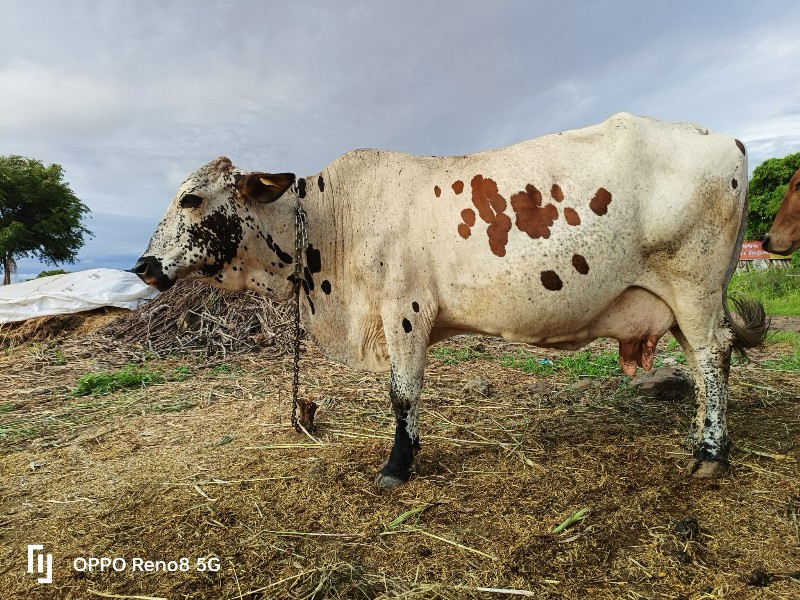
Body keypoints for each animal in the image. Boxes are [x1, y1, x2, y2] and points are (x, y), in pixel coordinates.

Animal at [136, 111, 768, 488]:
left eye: (191, 198)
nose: (143, 266)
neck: (330, 221)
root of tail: (725, 139)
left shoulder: (405, 313)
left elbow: (402, 395)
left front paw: (397, 464)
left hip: (693, 288)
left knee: (714, 358)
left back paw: (712, 454)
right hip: (681, 301)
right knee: (703, 365)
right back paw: (699, 440)